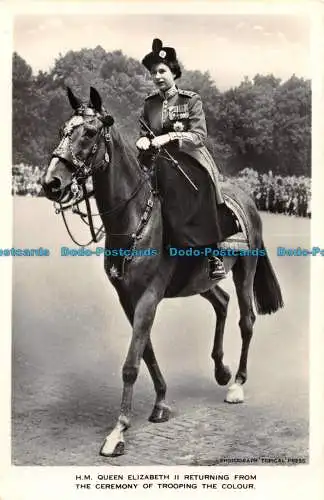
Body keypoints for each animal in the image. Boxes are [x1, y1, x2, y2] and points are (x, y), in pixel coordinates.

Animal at [41, 87, 282, 458]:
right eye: (62, 130)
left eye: (91, 133)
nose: (51, 182)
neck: (134, 218)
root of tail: (247, 197)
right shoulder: (129, 299)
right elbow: (146, 351)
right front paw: (161, 403)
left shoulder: (149, 297)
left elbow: (131, 363)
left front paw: (118, 431)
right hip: (202, 280)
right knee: (222, 302)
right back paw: (221, 370)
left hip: (247, 269)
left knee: (247, 320)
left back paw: (237, 384)